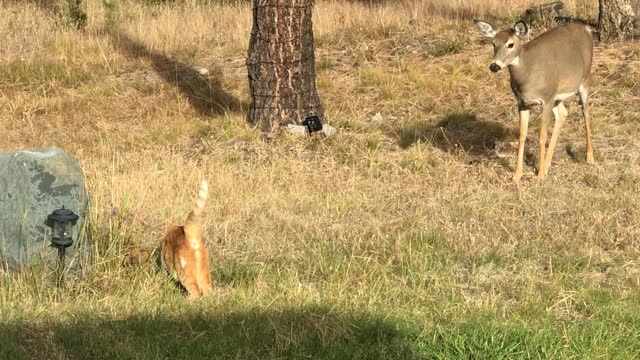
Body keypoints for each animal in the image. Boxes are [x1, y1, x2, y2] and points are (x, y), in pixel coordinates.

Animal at [470, 20, 596, 183]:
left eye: (510, 44)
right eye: (493, 43)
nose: (494, 66)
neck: (527, 76)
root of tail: (586, 28)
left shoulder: (546, 99)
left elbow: (542, 137)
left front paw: (540, 175)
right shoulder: (523, 103)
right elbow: (522, 135)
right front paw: (517, 175)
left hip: (584, 80)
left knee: (586, 112)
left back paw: (589, 158)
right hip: (557, 96)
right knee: (563, 113)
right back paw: (548, 164)